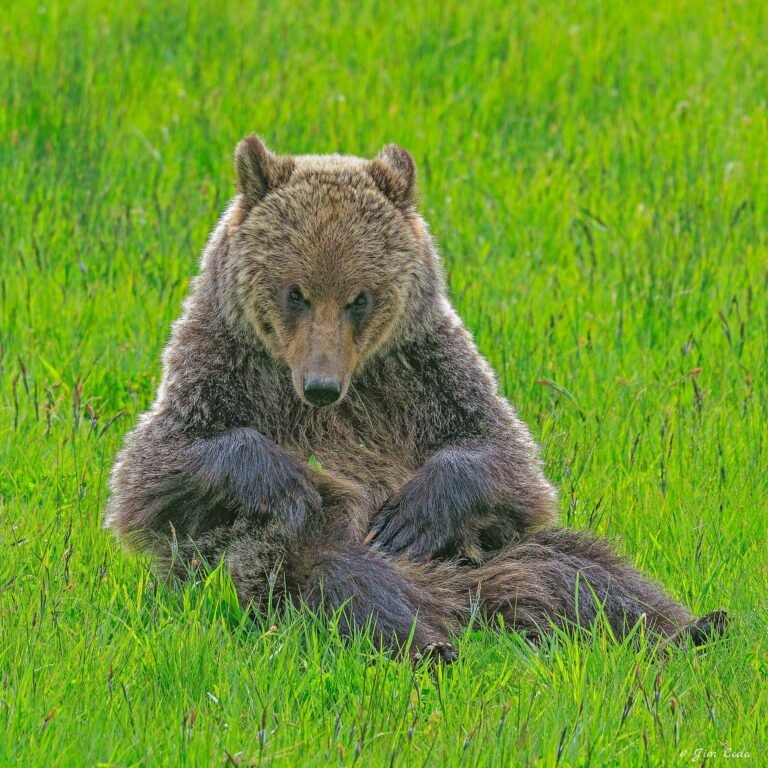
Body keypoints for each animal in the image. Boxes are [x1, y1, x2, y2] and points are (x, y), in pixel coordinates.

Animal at [105, 135, 725, 661]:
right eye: (295, 293)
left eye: (359, 297)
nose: (321, 386)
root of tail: (466, 601)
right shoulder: (223, 363)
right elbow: (157, 466)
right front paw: (292, 483)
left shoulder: (422, 366)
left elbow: (504, 453)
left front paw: (410, 515)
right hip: (277, 561)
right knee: (342, 581)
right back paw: (428, 643)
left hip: (493, 550)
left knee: (585, 571)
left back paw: (689, 626)